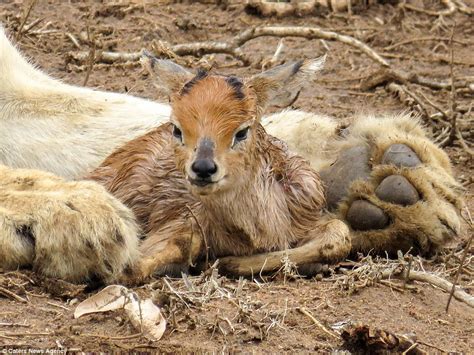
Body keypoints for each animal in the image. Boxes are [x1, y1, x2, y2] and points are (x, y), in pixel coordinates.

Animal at [90, 55, 350, 278]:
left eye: (242, 131)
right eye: (177, 128)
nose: (203, 168)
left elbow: (340, 236)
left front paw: (228, 263)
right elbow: (135, 267)